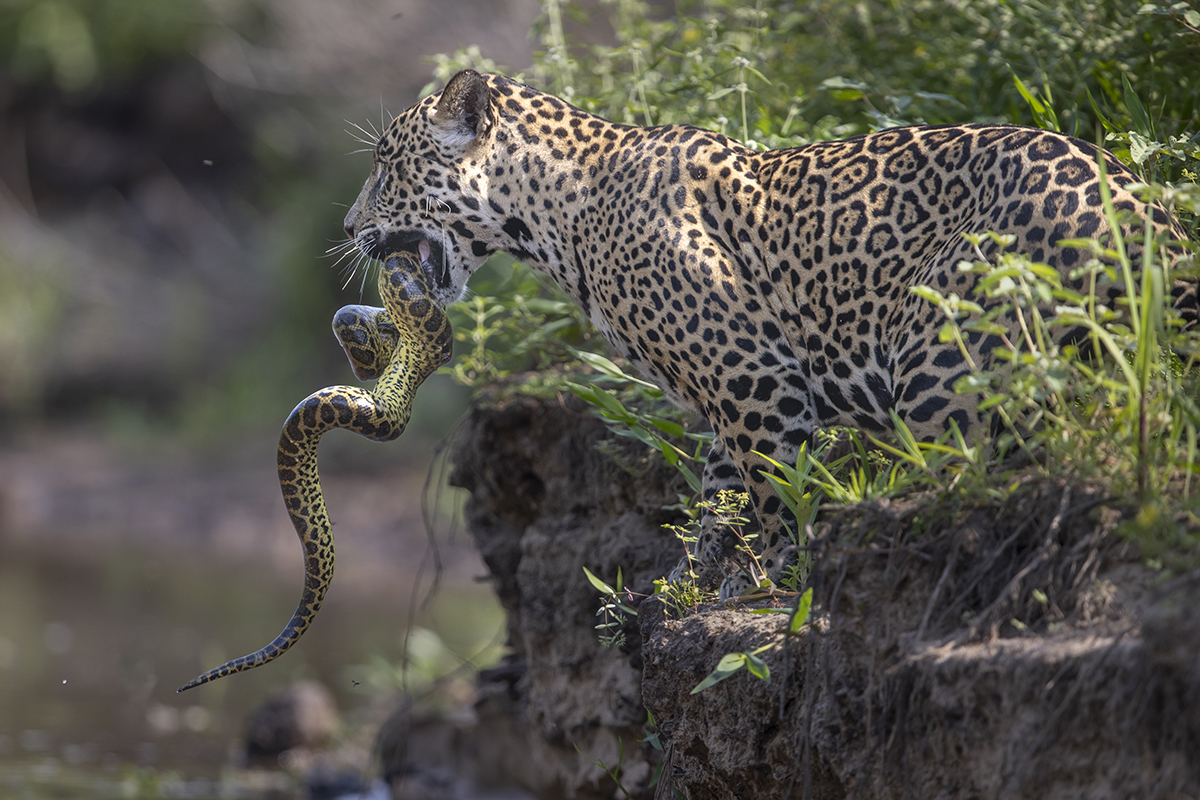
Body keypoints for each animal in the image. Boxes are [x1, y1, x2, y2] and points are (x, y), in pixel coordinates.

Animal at [343, 69, 1194, 599]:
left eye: (387, 165)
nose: (348, 228)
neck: (556, 215)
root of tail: (1147, 211)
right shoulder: (733, 387)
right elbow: (720, 490)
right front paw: (686, 584)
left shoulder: (755, 378)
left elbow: (779, 489)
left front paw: (784, 577)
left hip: (939, 348)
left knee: (976, 469)